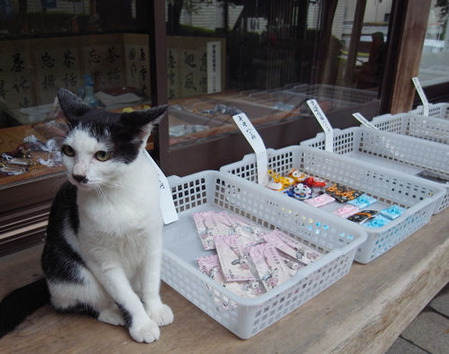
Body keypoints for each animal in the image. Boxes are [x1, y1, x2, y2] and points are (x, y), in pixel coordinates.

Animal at [0, 88, 173, 342]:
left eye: (102, 155)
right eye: (69, 151)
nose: (78, 175)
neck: (118, 195)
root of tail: (48, 282)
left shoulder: (152, 242)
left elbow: (151, 280)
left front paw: (155, 309)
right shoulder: (103, 260)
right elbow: (126, 296)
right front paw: (141, 324)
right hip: (74, 273)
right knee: (81, 302)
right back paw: (113, 314)